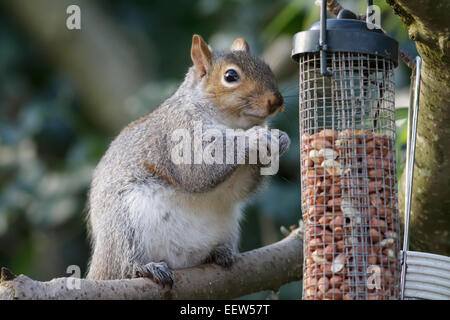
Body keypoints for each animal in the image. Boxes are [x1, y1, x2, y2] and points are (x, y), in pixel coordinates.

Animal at [86, 34, 290, 284]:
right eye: (230, 76)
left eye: (267, 67)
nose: (276, 101)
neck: (229, 123)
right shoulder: (179, 134)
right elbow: (200, 167)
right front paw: (254, 137)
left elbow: (239, 189)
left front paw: (282, 139)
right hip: (125, 228)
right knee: (126, 263)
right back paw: (145, 268)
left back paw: (218, 253)